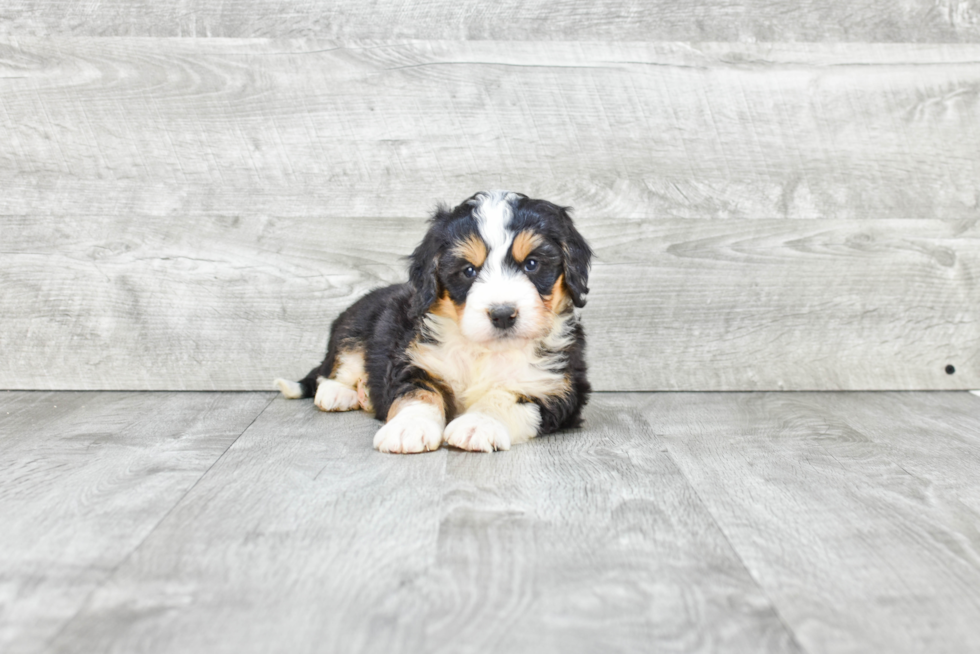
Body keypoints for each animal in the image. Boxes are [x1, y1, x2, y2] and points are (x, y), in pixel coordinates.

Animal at [276, 192, 596, 454]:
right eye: (468, 271)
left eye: (531, 264)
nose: (503, 314)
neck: (484, 350)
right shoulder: (414, 363)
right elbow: (418, 395)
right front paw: (408, 428)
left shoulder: (557, 389)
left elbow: (505, 399)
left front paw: (477, 424)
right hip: (355, 326)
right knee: (335, 367)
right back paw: (339, 393)